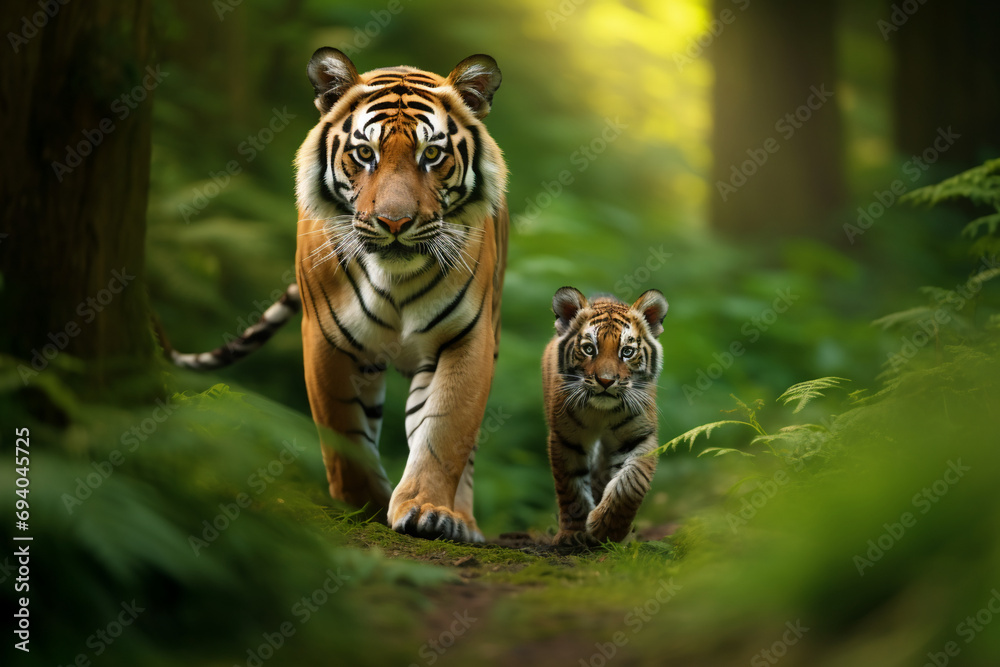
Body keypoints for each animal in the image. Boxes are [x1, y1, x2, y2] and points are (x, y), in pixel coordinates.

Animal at [169, 48, 508, 543]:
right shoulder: (328, 338)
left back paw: (461, 519)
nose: (394, 222)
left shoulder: (465, 338)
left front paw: (426, 509)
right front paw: (364, 506)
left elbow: (444, 431)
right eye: (365, 153)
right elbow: (343, 433)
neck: (395, 279)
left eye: (431, 154)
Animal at [542, 286, 668, 546]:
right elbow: (571, 486)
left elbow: (631, 483)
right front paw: (572, 533)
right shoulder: (566, 438)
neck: (601, 411)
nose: (606, 381)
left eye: (627, 352)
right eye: (589, 349)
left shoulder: (639, 437)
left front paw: (607, 529)